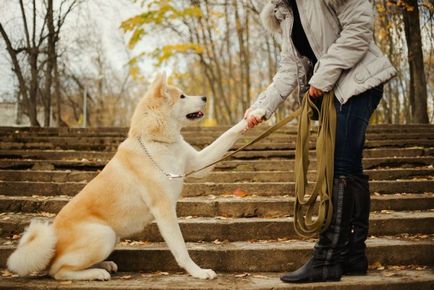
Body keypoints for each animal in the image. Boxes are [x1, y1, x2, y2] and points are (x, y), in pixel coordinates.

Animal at [6, 72, 264, 280]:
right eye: (182, 96)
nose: (204, 97)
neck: (157, 142)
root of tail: (50, 245)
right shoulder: (164, 209)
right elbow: (181, 249)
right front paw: (198, 272)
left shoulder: (200, 164)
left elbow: (227, 134)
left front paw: (254, 115)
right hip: (104, 234)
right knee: (57, 270)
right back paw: (96, 273)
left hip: (111, 237)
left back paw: (104, 265)